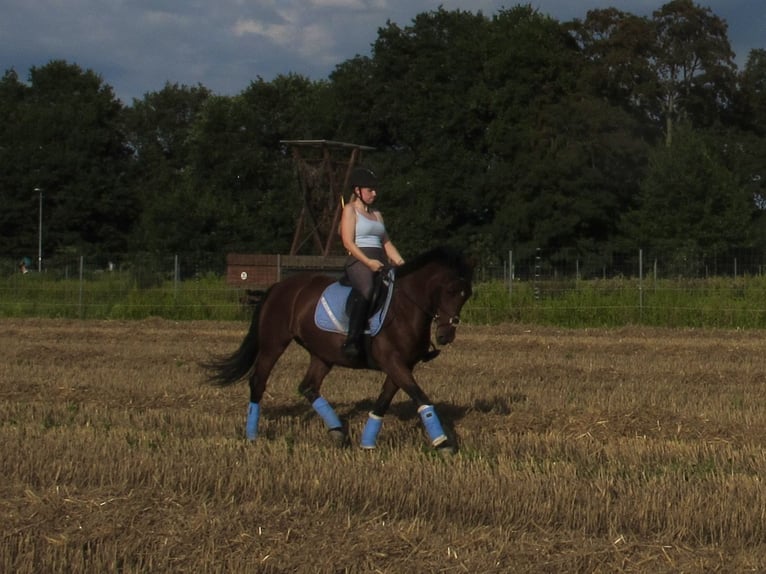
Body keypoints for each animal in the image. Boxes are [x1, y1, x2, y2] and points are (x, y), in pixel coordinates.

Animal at [207, 245, 476, 452]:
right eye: (450, 291)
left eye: (467, 295)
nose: (445, 335)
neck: (406, 308)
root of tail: (278, 287)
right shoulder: (392, 361)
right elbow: (420, 396)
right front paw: (443, 442)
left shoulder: (401, 365)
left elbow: (383, 402)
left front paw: (367, 442)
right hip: (274, 343)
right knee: (258, 381)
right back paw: (252, 435)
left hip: (322, 354)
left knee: (308, 386)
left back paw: (337, 431)